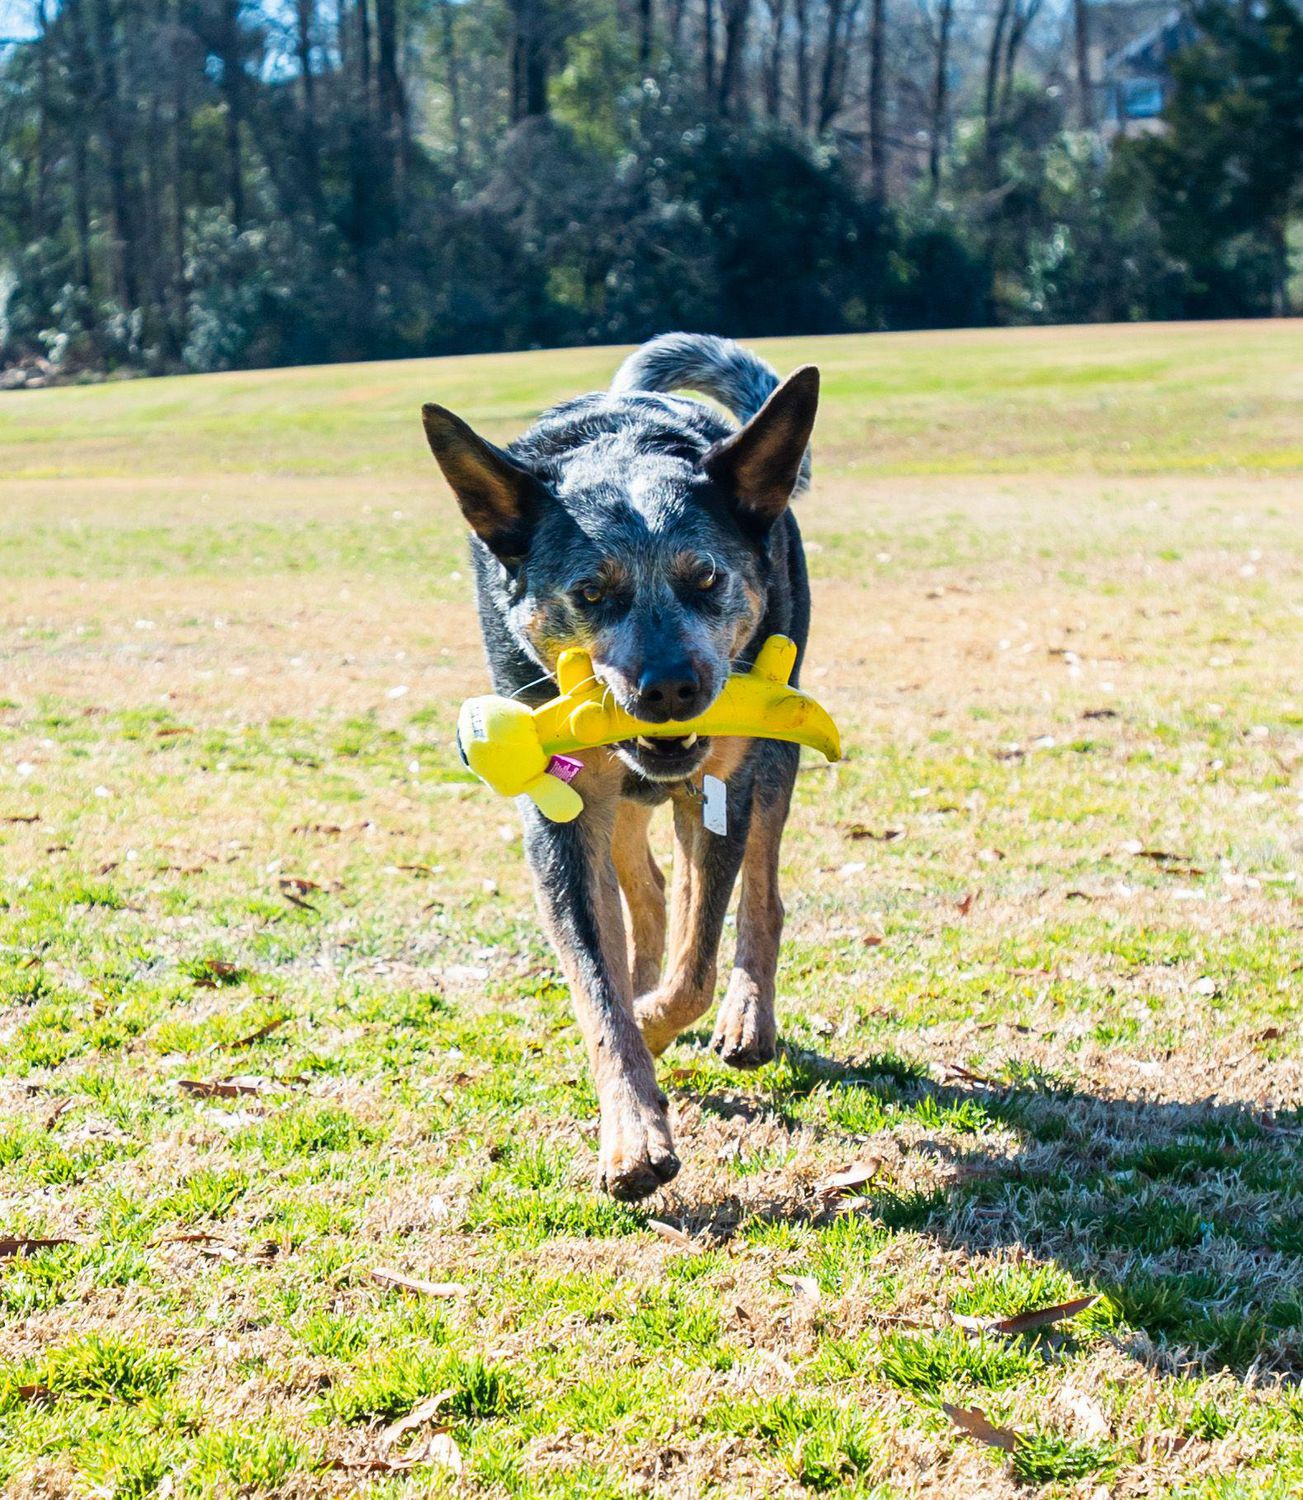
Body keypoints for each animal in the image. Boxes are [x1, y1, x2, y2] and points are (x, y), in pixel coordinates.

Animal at [422, 334, 815, 1200]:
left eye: (706, 578)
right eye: (590, 592)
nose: (666, 688)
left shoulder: (721, 788)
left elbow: (693, 966)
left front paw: (664, 1024)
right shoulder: (560, 816)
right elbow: (598, 986)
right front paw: (632, 1131)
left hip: (771, 752)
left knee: (756, 898)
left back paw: (746, 1016)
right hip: (617, 801)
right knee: (645, 886)